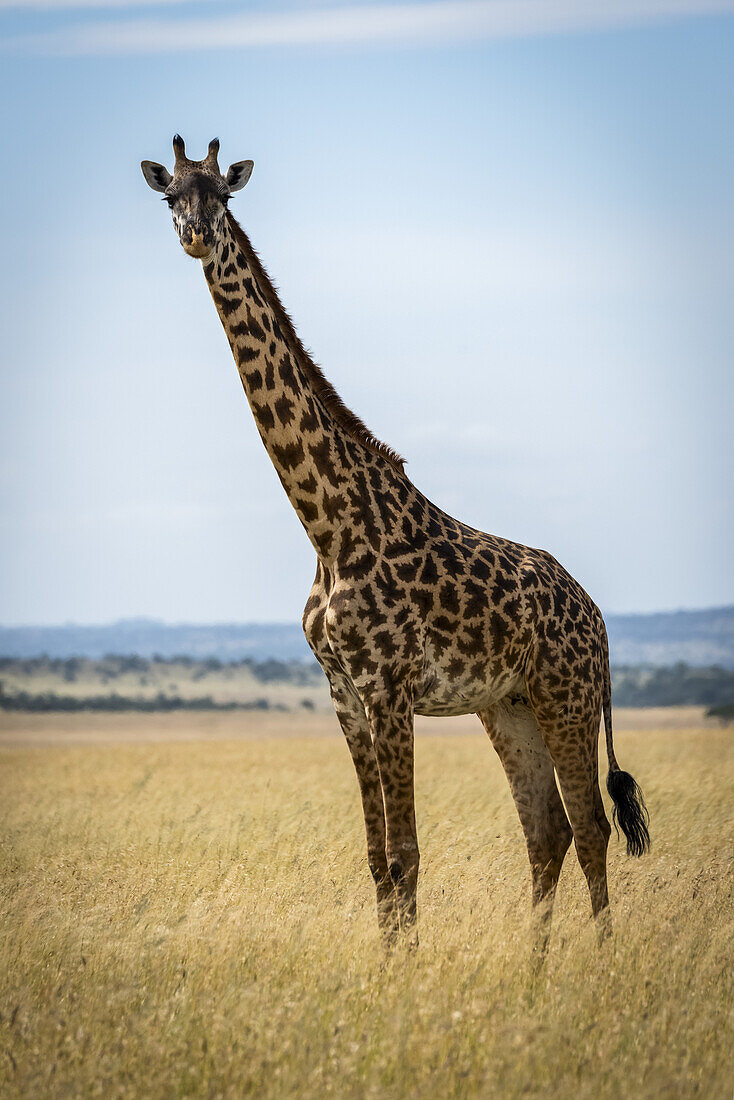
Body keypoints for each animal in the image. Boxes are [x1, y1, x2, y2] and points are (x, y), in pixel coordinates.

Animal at [141, 135, 647, 946]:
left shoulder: (390, 687)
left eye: (222, 195)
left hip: (565, 696)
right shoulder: (344, 692)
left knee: (592, 826)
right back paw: (536, 962)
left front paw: (401, 967)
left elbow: (408, 855)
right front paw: (388, 960)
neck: (327, 527)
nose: (195, 235)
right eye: (170, 196)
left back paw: (599, 958)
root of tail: (597, 617)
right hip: (509, 707)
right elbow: (379, 860)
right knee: (548, 831)